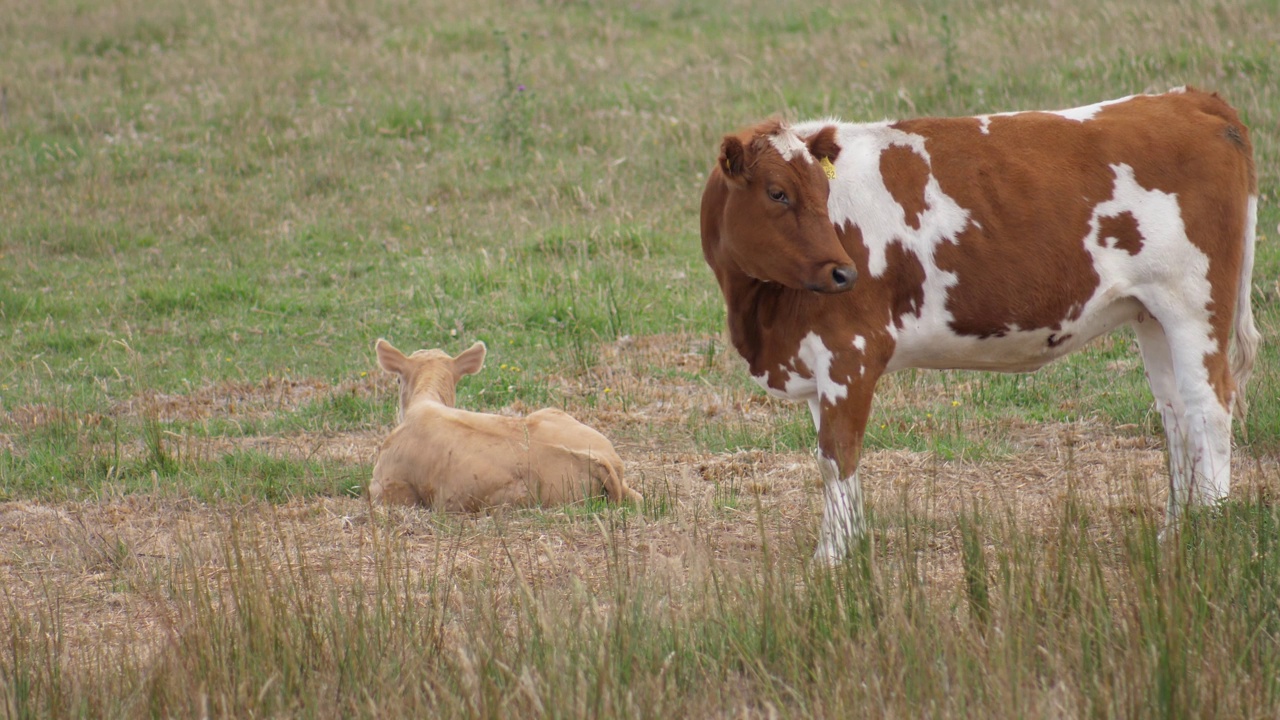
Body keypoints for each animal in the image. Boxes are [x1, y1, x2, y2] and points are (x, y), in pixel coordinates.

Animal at [706, 88, 1264, 561]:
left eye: (824, 191)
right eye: (777, 193)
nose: (843, 272)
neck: (759, 317)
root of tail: (1188, 98)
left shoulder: (852, 351)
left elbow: (837, 455)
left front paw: (831, 559)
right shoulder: (816, 362)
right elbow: (833, 458)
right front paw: (851, 544)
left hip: (1194, 303)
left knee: (1208, 406)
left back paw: (1207, 530)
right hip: (1151, 315)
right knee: (1175, 415)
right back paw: (1175, 531)